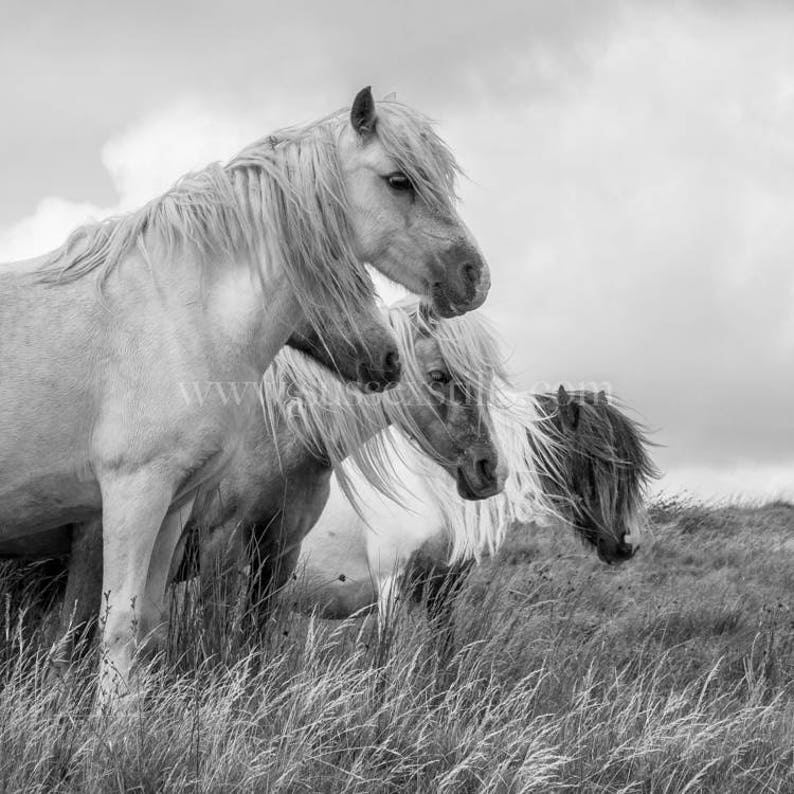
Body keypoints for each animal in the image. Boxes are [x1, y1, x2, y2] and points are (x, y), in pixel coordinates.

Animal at [0, 87, 490, 701]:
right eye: (400, 180)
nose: (474, 276)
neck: (171, 314)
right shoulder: (146, 503)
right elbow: (128, 627)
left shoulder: (196, 513)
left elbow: (163, 627)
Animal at [294, 386, 657, 645]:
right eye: (595, 461)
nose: (629, 544)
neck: (430, 488)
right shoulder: (389, 581)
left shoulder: (443, 590)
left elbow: (443, 657)